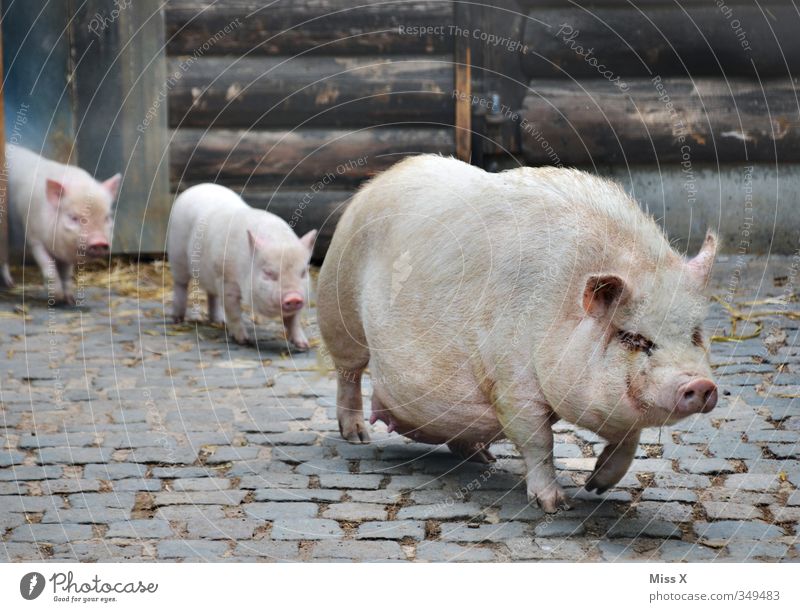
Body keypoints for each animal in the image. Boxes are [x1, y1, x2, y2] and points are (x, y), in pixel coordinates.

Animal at [0, 144, 119, 306]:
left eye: (107, 217)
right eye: (73, 217)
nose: (99, 242)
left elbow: (66, 274)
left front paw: (70, 300)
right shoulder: (34, 238)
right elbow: (49, 268)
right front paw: (56, 299)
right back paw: (10, 284)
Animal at [318, 154, 720, 512]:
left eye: (695, 334)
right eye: (634, 339)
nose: (700, 383)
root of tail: (378, 181)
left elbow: (629, 439)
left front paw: (596, 488)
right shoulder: (510, 381)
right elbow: (540, 441)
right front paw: (555, 506)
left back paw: (483, 458)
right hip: (339, 305)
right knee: (348, 373)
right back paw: (357, 436)